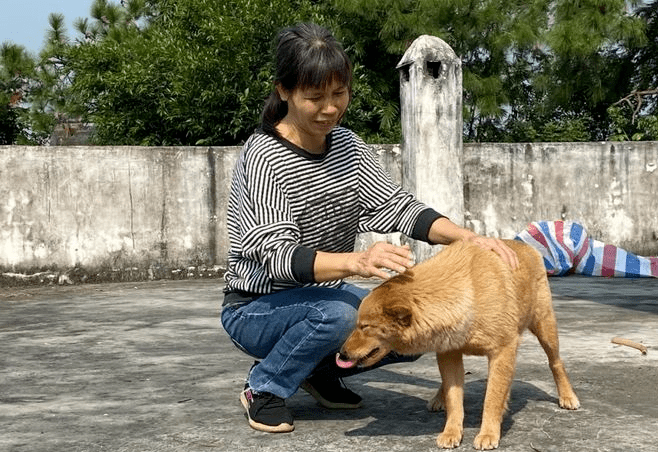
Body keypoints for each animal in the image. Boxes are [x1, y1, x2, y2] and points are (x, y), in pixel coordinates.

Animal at [336, 240, 576, 448]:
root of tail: (524, 245)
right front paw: (451, 431)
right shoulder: (448, 353)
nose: (342, 354)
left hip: (544, 326)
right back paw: (439, 398)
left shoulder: (502, 351)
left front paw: (488, 432)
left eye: (364, 326)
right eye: (358, 325)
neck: (467, 293)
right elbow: (454, 399)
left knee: (555, 362)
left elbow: (492, 398)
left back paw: (567, 395)